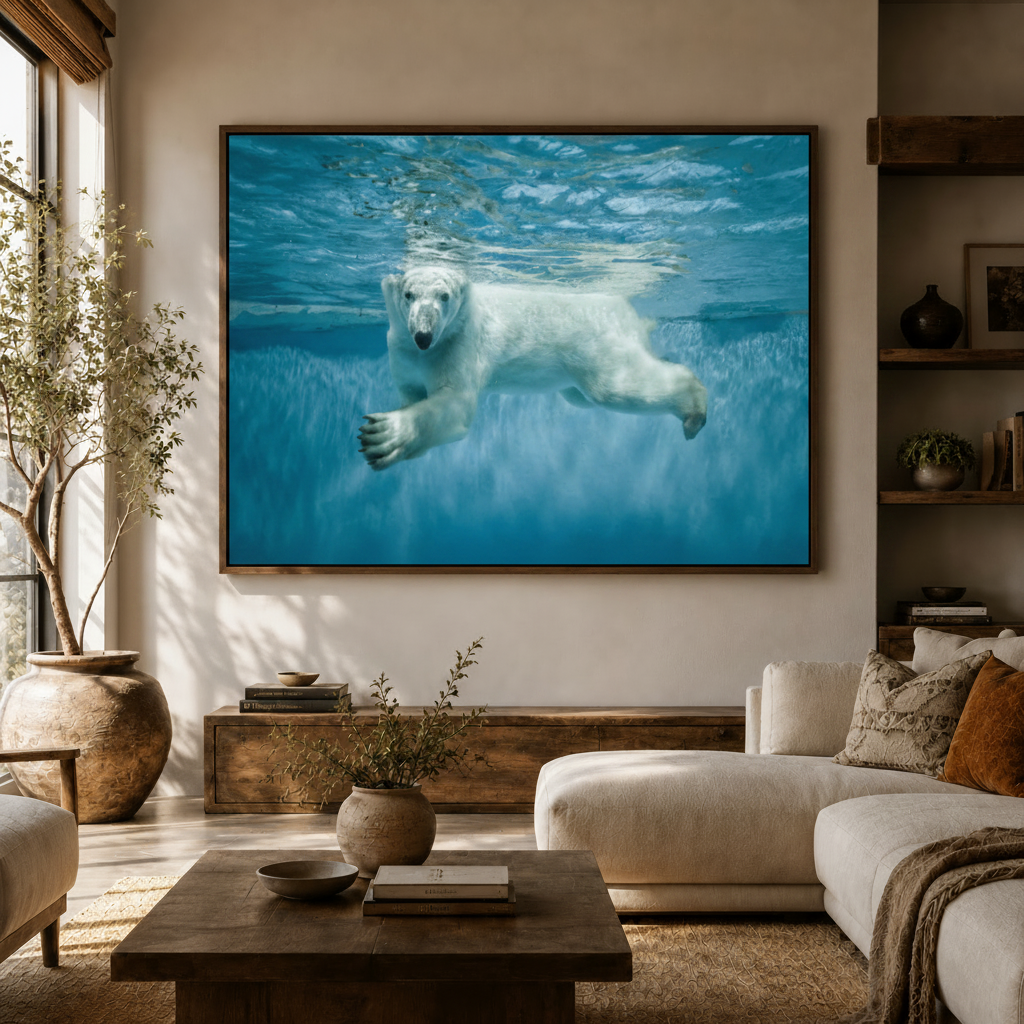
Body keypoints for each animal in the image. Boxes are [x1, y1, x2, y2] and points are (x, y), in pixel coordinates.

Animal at [358, 265, 707, 471]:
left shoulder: (459, 344)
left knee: (616, 387)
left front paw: (382, 434)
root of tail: (626, 308)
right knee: (581, 396)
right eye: (409, 294)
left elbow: (454, 404)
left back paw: (694, 409)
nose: (423, 335)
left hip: (595, 342)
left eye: (444, 296)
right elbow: (412, 393)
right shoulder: (402, 352)